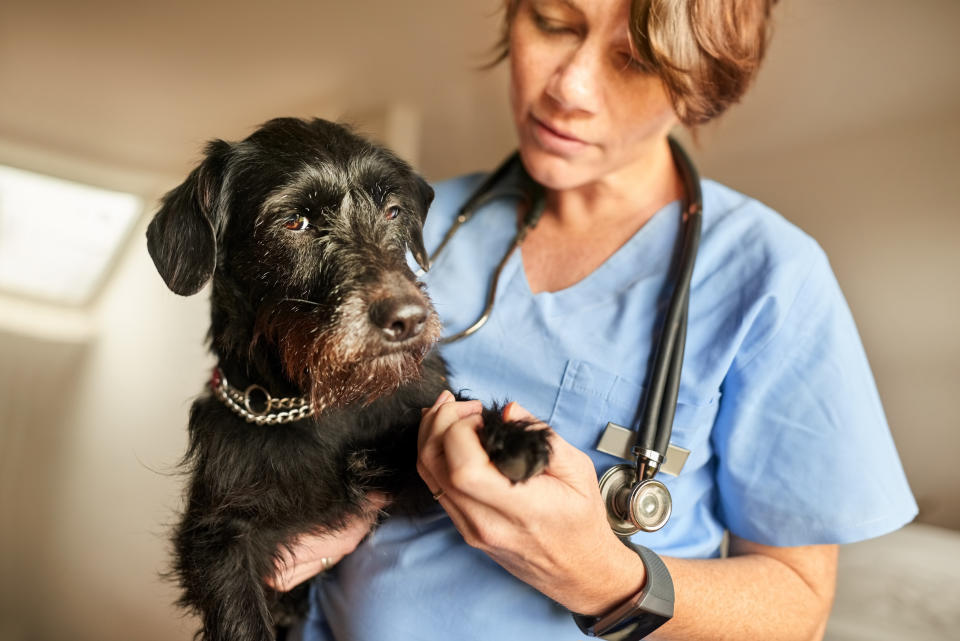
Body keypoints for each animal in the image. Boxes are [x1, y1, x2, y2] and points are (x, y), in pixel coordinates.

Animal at [142, 119, 548, 640]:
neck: (318, 402)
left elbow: (444, 418)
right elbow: (240, 618)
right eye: (294, 222)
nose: (408, 319)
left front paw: (505, 435)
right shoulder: (219, 538)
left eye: (393, 211)